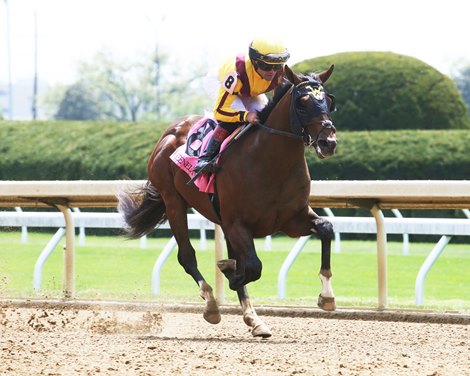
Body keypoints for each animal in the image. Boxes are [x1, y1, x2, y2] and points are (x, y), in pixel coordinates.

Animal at [117, 64, 338, 338]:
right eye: (303, 102)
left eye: (328, 100)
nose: (328, 142)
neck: (271, 163)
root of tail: (172, 130)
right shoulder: (238, 223)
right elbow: (252, 267)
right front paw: (228, 272)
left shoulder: (291, 220)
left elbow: (326, 228)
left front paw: (327, 296)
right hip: (173, 202)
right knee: (187, 257)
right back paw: (212, 304)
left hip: (221, 219)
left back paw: (254, 319)